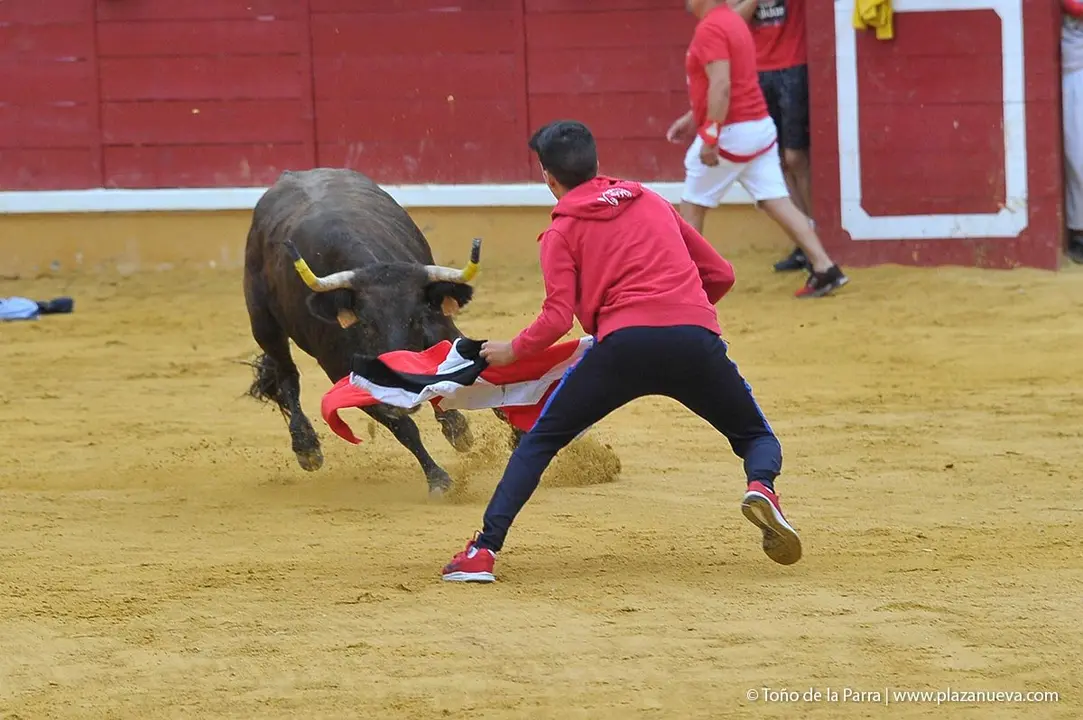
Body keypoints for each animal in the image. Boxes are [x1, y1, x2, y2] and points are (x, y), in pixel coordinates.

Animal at [242, 167, 483, 497]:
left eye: (417, 319)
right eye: (365, 323)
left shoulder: (443, 331)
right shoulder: (344, 372)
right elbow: (402, 427)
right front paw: (437, 478)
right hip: (264, 324)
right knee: (287, 376)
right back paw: (306, 447)